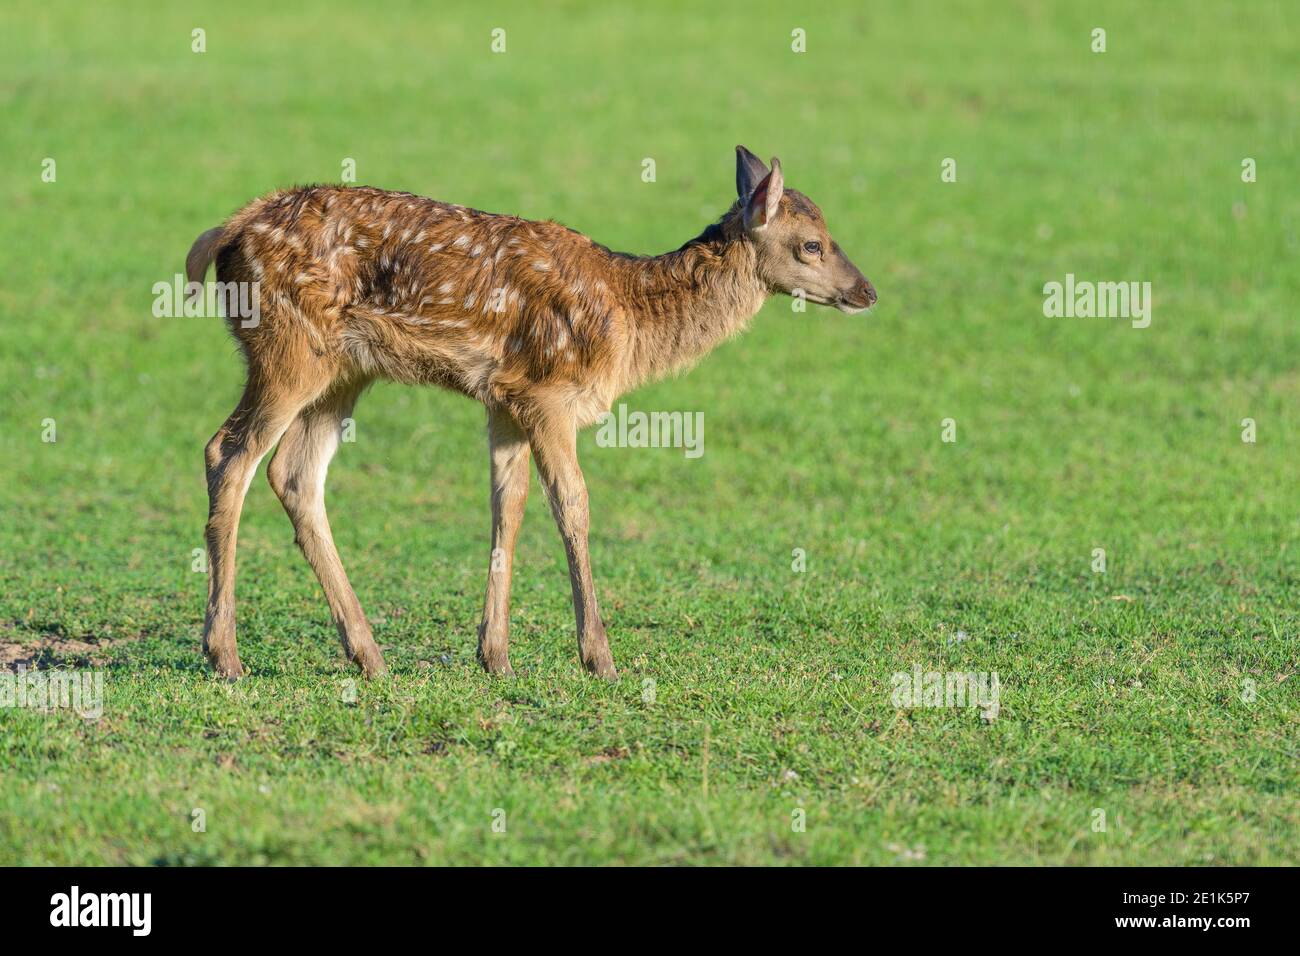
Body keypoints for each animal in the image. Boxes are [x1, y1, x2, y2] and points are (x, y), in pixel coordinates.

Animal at [187, 145, 876, 682]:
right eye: (812, 244)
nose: (866, 291)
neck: (628, 320)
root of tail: (226, 234)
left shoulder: (504, 399)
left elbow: (507, 506)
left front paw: (495, 656)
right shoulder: (548, 393)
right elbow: (572, 504)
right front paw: (600, 658)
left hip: (345, 371)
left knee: (295, 473)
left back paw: (369, 655)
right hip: (286, 348)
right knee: (228, 453)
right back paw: (226, 656)